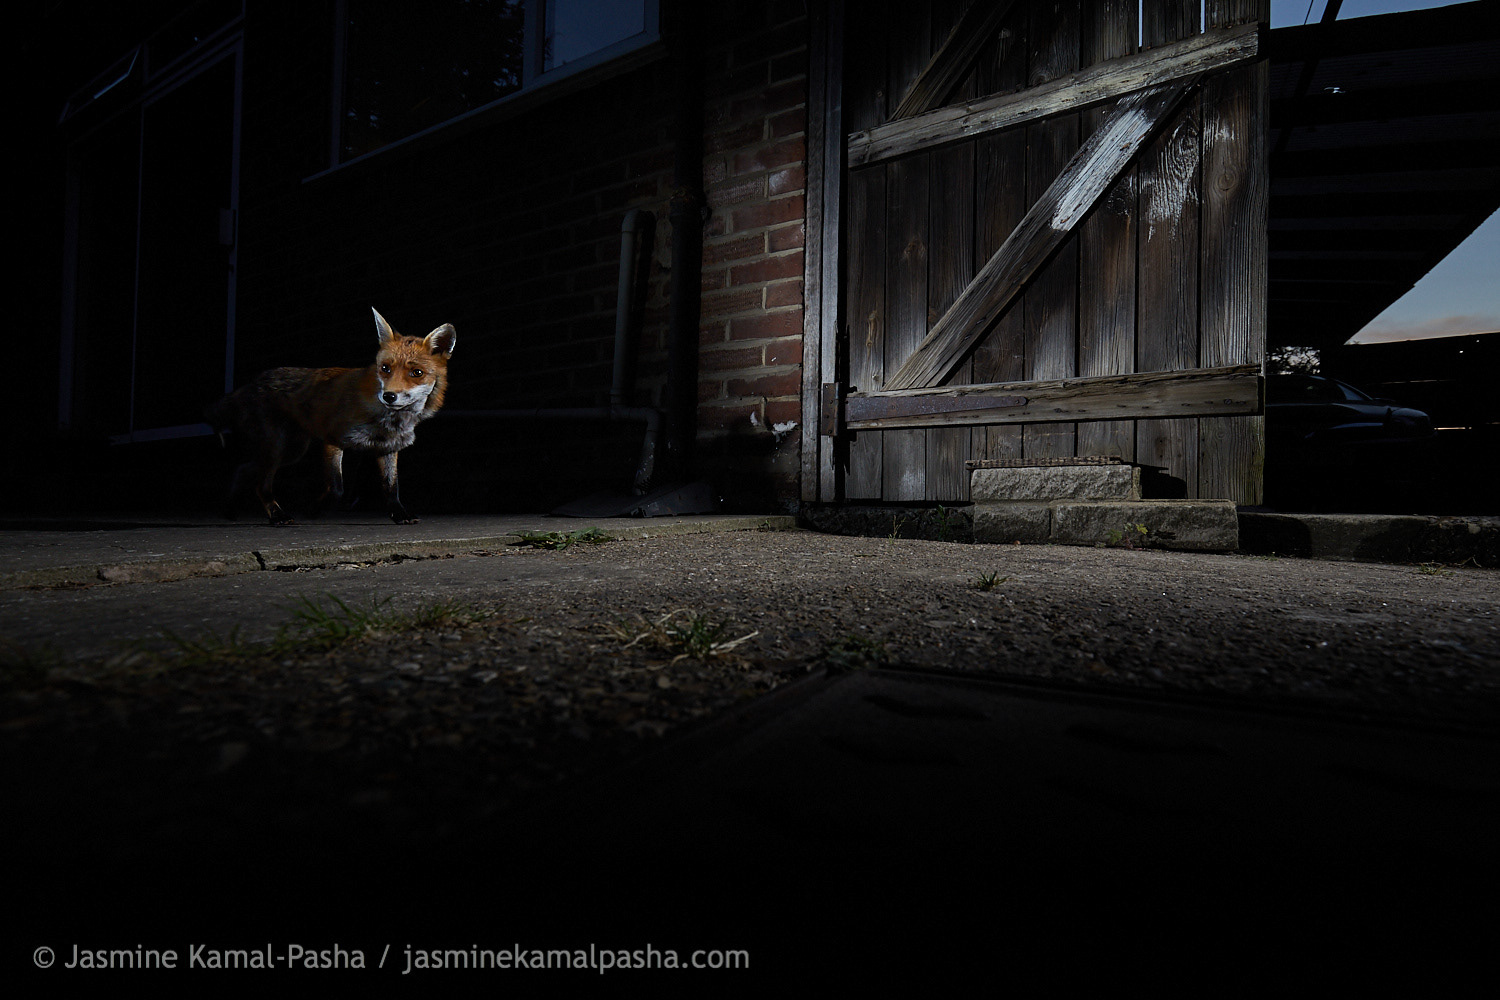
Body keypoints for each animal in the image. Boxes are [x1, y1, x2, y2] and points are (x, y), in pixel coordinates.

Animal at [207, 308, 457, 525]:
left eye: (417, 373)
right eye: (385, 368)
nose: (389, 396)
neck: (388, 420)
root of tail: (252, 382)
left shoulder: (388, 448)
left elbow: (391, 487)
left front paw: (399, 514)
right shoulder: (332, 440)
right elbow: (336, 488)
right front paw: (313, 510)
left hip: (291, 451)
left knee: (243, 469)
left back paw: (230, 510)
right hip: (277, 448)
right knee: (261, 485)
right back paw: (277, 516)